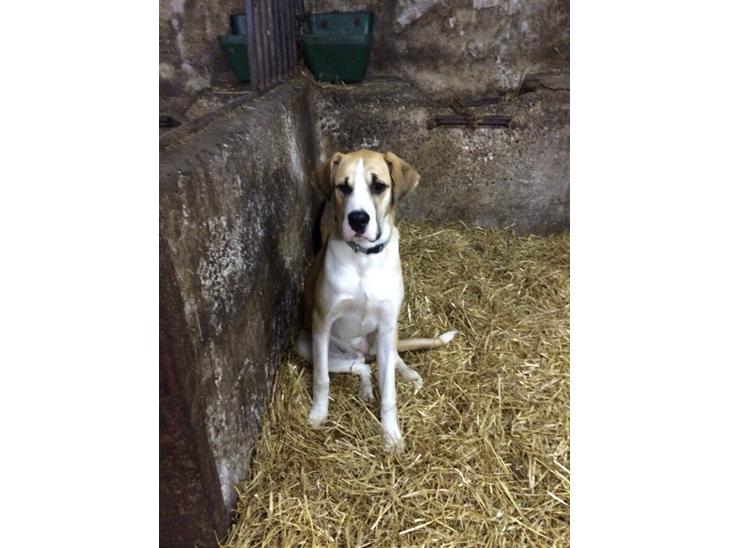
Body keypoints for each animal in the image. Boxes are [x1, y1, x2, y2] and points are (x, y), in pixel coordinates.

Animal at [296, 149, 457, 451]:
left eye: (379, 186)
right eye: (343, 187)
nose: (358, 220)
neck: (364, 259)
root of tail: (363, 350)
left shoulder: (386, 324)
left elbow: (389, 392)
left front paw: (391, 436)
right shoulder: (322, 322)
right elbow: (321, 378)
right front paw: (318, 414)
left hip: (386, 338)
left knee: (391, 358)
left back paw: (408, 374)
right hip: (306, 344)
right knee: (360, 366)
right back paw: (365, 386)